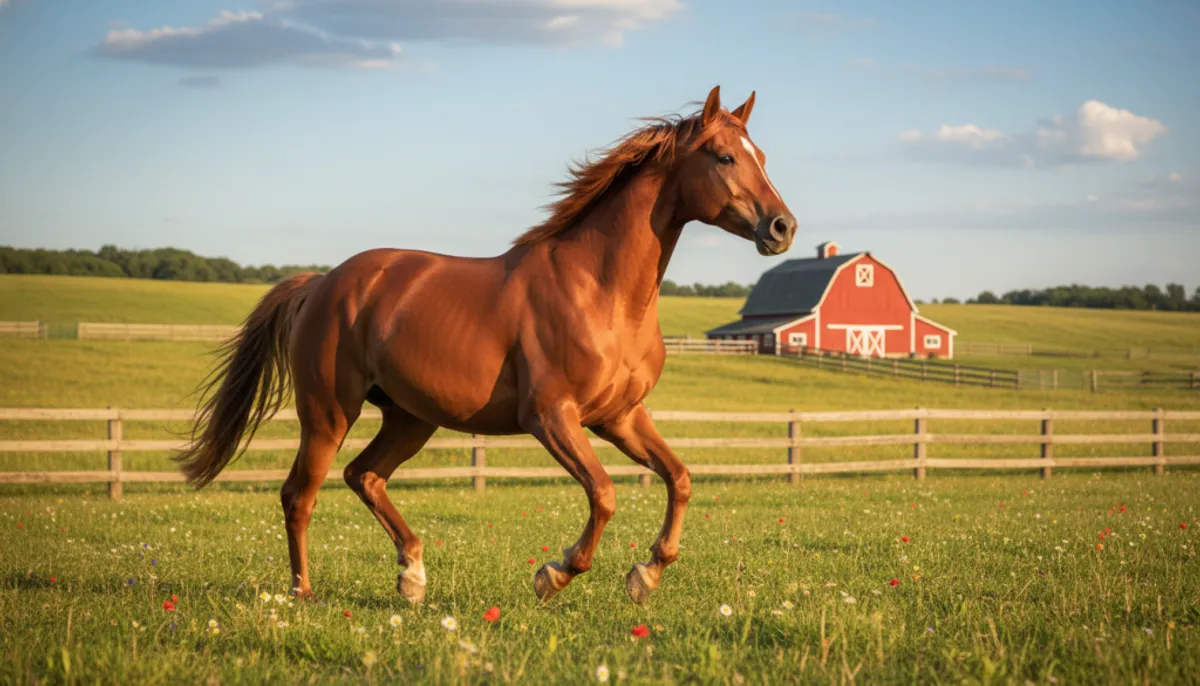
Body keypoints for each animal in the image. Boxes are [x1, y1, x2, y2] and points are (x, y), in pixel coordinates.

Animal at [176, 85, 798, 606]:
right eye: (724, 157)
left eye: (764, 157)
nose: (782, 228)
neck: (602, 292)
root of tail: (321, 283)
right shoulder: (551, 416)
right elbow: (603, 493)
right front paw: (554, 574)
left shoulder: (620, 416)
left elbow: (680, 478)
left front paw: (645, 575)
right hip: (328, 413)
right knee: (299, 495)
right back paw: (303, 593)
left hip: (410, 418)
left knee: (364, 476)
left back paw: (412, 577)